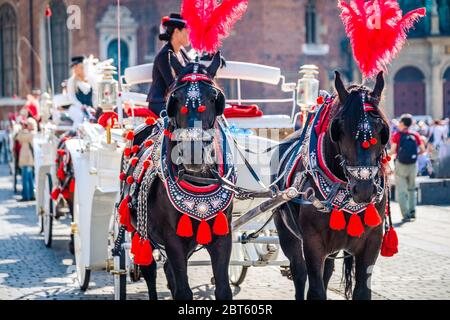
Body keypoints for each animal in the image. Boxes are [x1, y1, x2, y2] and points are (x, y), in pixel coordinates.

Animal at [121, 52, 234, 300]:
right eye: (175, 98)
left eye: (214, 97)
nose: (194, 152)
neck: (197, 180)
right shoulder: (173, 240)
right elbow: (183, 291)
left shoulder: (222, 236)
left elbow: (223, 288)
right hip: (139, 230)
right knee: (150, 270)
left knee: (166, 270)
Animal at [272, 71, 392, 298]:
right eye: (339, 128)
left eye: (382, 129)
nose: (364, 189)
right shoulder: (312, 244)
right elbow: (315, 290)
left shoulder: (372, 242)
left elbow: (362, 291)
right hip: (286, 233)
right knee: (299, 272)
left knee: (327, 271)